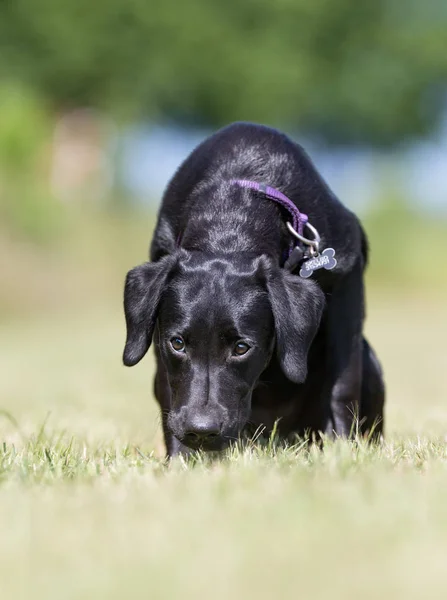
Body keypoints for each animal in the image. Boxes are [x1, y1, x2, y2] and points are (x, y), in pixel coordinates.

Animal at [122, 124, 384, 458]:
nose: (200, 431)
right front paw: (181, 458)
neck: (231, 221)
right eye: (178, 343)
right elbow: (168, 387)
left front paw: (341, 451)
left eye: (241, 347)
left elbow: (343, 384)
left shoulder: (346, 274)